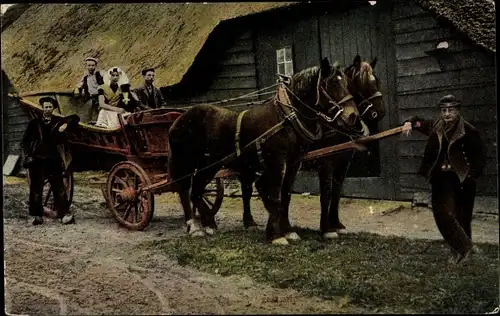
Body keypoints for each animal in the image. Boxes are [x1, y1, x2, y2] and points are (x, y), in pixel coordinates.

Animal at [169, 56, 364, 244]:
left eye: (346, 84)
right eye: (330, 84)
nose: (353, 116)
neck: (285, 117)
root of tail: (178, 120)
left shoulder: (294, 163)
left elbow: (285, 195)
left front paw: (288, 230)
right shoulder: (276, 162)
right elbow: (274, 195)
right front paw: (276, 235)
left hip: (209, 165)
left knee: (196, 191)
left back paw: (208, 224)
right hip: (190, 164)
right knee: (187, 191)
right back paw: (196, 227)